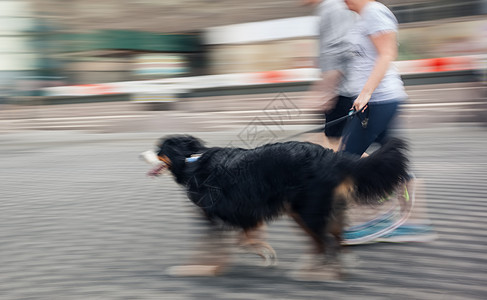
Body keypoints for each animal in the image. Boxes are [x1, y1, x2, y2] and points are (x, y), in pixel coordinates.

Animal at [147, 135, 410, 278]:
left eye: (159, 150)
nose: (143, 154)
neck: (192, 160)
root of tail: (331, 156)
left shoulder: (220, 217)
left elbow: (217, 249)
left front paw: (205, 268)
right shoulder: (245, 211)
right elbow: (245, 239)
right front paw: (265, 253)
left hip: (307, 211)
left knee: (327, 243)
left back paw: (321, 273)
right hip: (307, 211)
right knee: (332, 240)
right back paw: (321, 266)